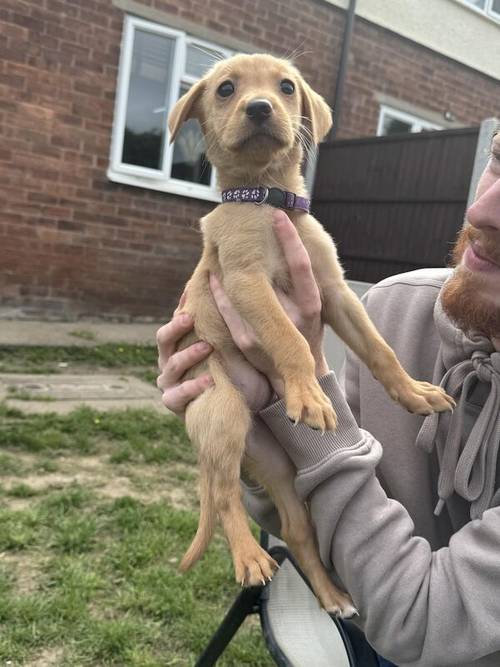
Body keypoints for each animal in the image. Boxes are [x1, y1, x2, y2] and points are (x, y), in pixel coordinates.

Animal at [167, 54, 454, 620]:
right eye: (226, 89)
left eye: (285, 87)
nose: (260, 108)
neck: (269, 199)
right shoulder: (247, 283)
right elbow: (290, 339)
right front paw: (309, 395)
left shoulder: (335, 291)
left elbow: (379, 349)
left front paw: (415, 393)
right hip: (223, 412)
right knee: (224, 494)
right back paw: (250, 557)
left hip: (279, 469)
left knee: (297, 531)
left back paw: (333, 596)